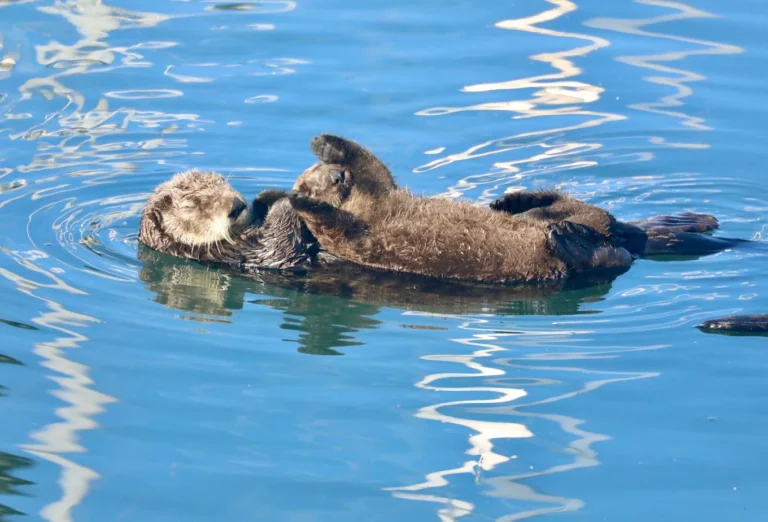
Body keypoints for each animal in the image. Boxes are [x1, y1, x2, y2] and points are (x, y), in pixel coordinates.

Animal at [139, 170, 317, 270]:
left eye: (223, 182)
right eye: (191, 206)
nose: (236, 206)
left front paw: (265, 197)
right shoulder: (247, 254)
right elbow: (282, 241)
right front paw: (287, 200)